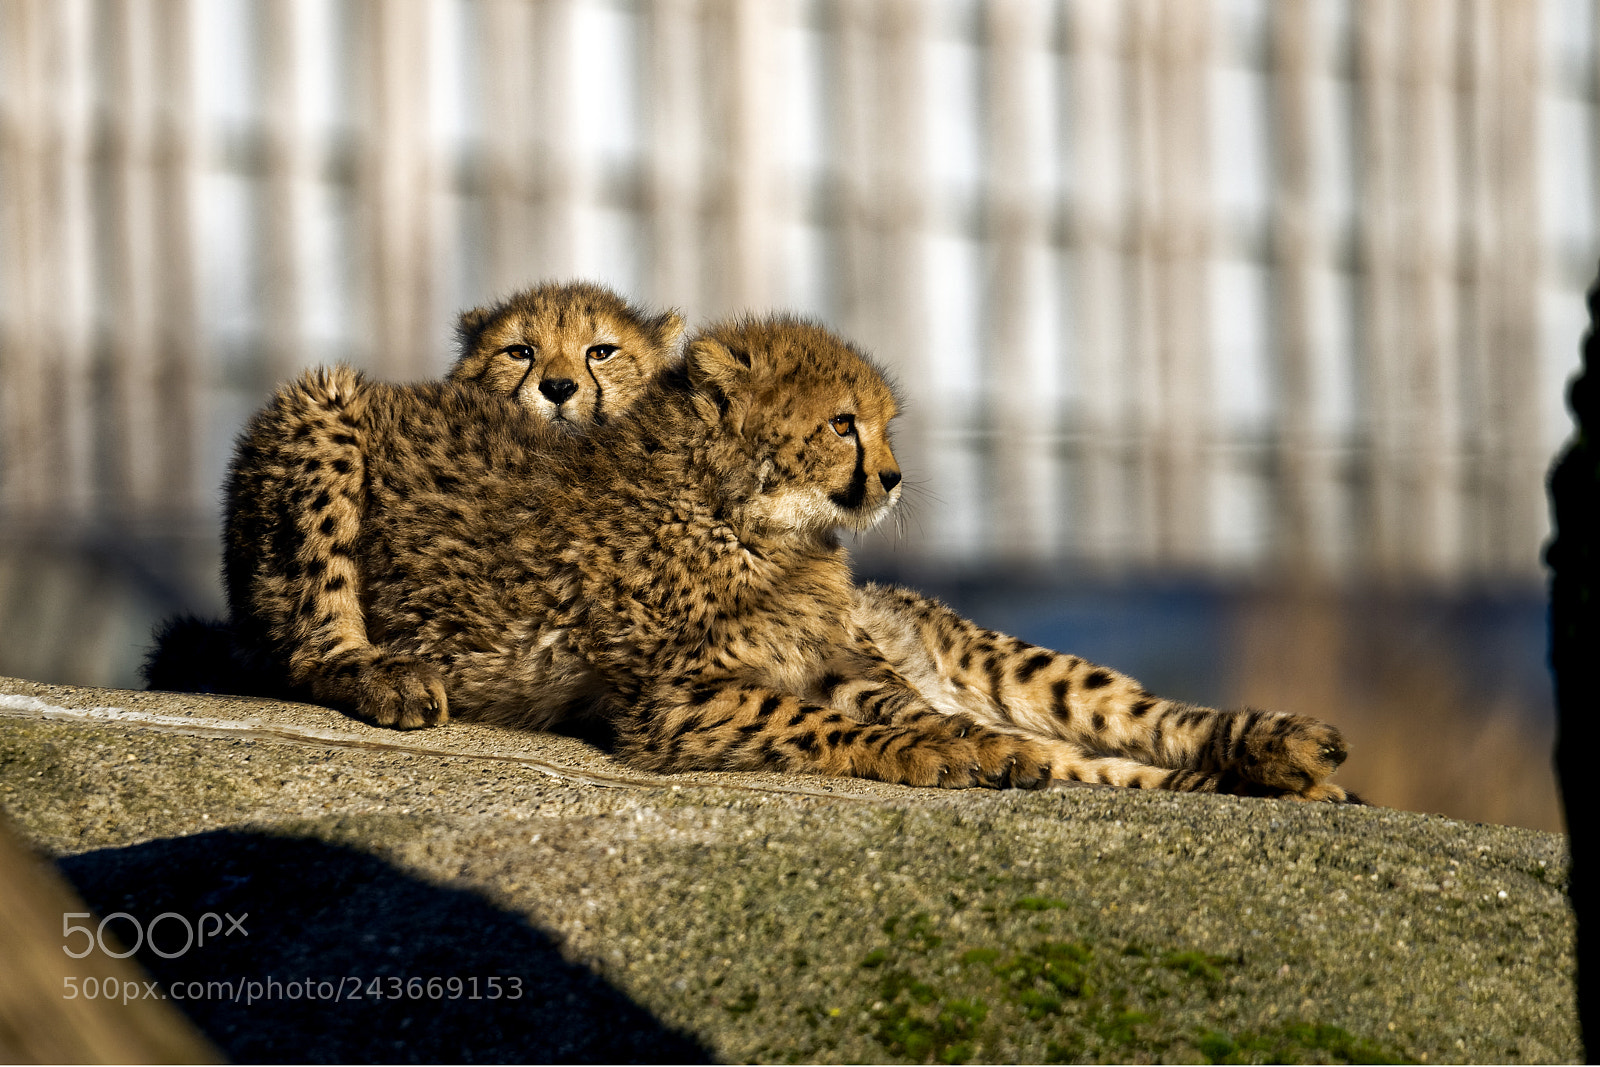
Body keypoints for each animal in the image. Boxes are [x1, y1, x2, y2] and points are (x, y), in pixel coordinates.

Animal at [222, 313, 1354, 799]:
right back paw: (384, 673)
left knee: (1118, 724)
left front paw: (967, 744)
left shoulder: (839, 659)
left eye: (885, 427)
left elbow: (896, 707)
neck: (751, 513)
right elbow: (827, 723)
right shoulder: (679, 699)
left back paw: (1273, 750)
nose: (893, 478)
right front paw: (951, 754)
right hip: (322, 407)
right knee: (309, 629)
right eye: (845, 423)